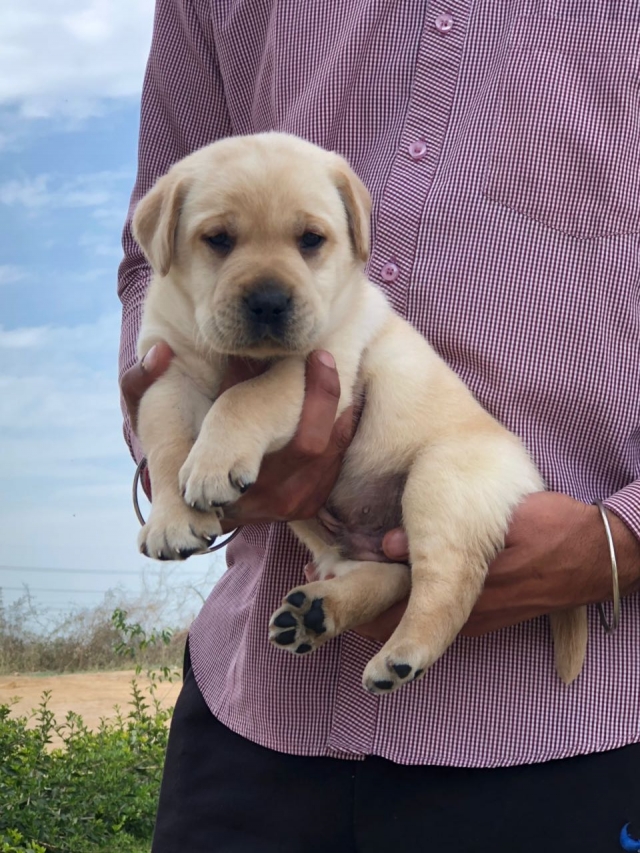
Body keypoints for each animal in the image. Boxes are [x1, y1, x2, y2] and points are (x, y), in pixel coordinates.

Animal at [132, 131, 588, 692]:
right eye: (218, 239)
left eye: (311, 239)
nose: (269, 301)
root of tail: (531, 479)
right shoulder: (166, 372)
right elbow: (166, 445)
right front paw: (171, 519)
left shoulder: (322, 361)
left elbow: (246, 397)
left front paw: (213, 464)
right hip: (345, 542)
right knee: (395, 575)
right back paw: (316, 613)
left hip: (441, 486)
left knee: (448, 583)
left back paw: (402, 654)